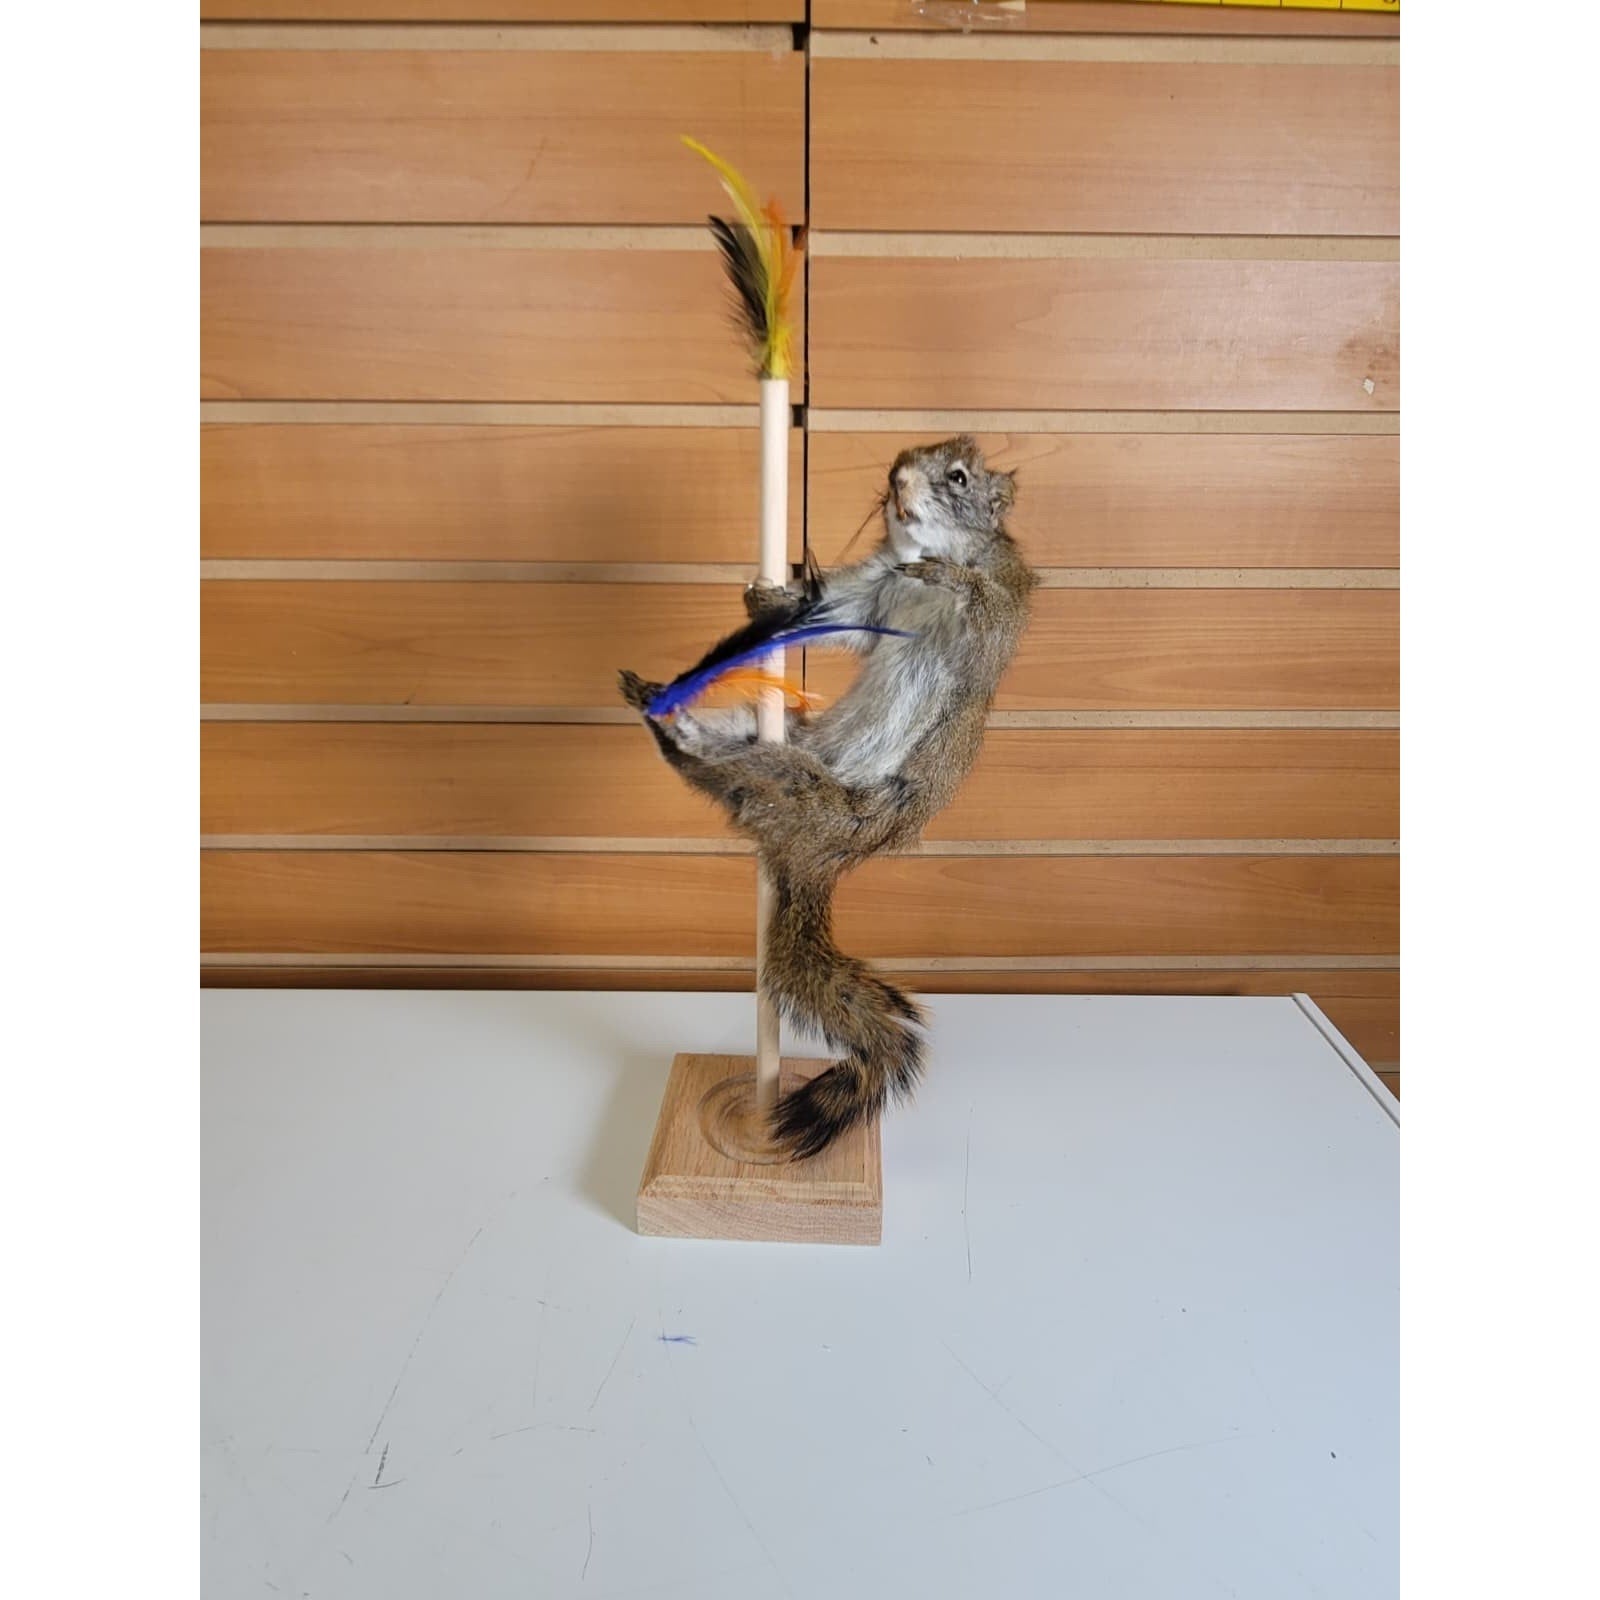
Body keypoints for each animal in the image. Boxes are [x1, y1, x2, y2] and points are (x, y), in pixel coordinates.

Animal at [619, 436, 1037, 1159]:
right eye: (905, 454)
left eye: (958, 476)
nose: (897, 477)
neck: (926, 553)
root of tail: (814, 859)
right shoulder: (872, 592)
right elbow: (840, 617)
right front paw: (768, 594)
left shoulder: (999, 610)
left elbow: (982, 607)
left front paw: (949, 579)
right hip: (770, 745)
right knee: (709, 767)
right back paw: (667, 712)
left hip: (808, 795)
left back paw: (678, 724)